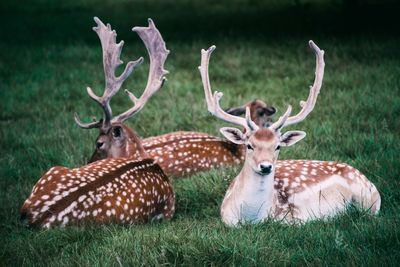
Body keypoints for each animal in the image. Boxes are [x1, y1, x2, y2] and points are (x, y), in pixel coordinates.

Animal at [200, 40, 382, 227]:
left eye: (277, 146)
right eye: (249, 145)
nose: (266, 166)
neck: (251, 218)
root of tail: (364, 176)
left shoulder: (295, 218)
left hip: (369, 200)